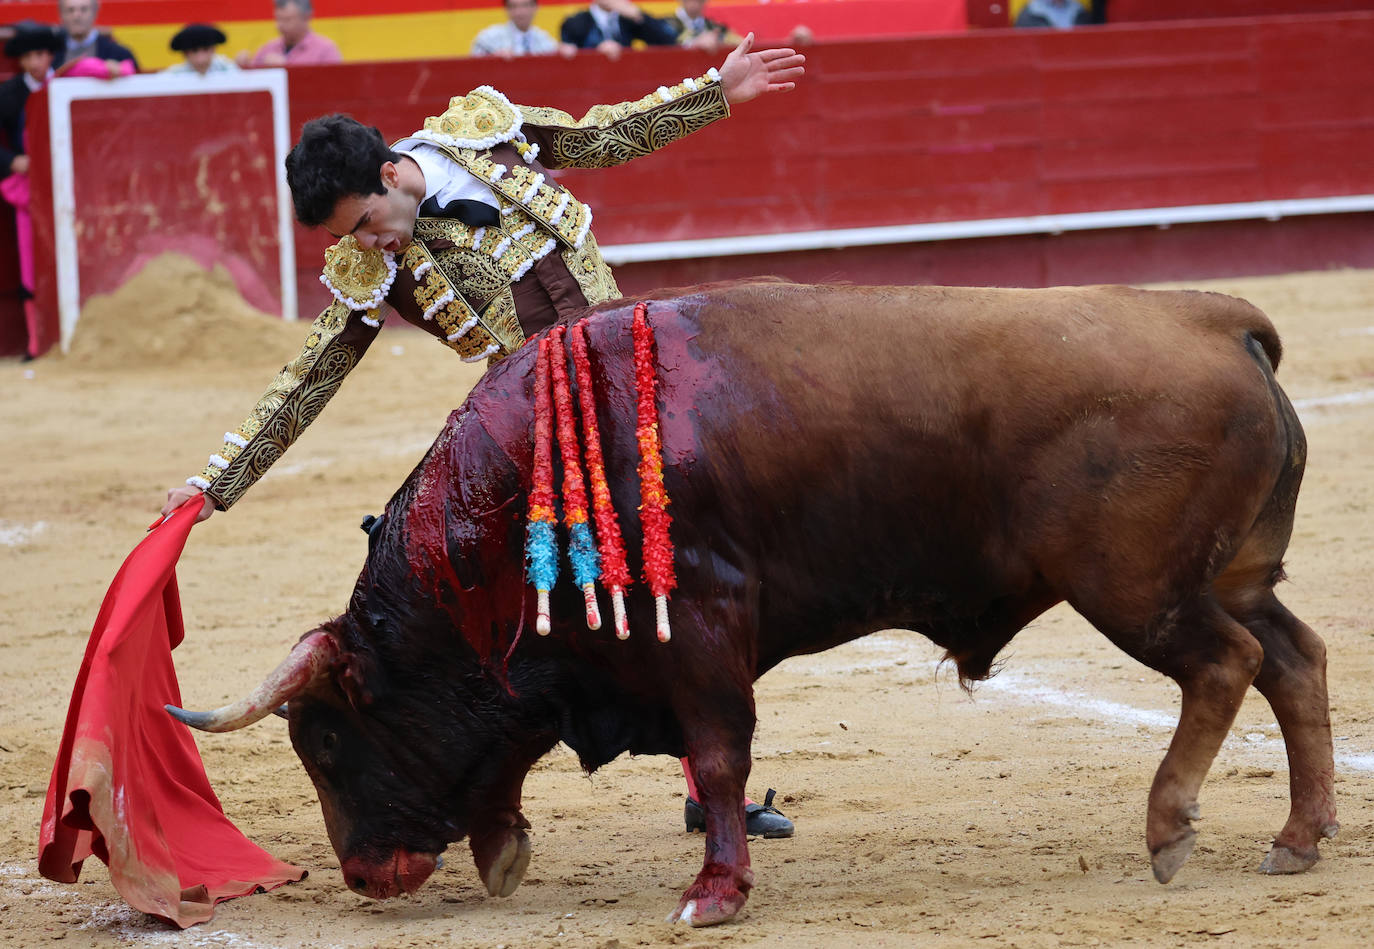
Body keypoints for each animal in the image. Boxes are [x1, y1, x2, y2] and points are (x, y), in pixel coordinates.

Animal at [166, 281, 1335, 928]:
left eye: (324, 738)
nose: (366, 873)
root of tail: (1216, 319)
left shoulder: (701, 631)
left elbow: (719, 756)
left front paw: (714, 892)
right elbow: (509, 744)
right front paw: (505, 848)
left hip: (1135, 588)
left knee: (1227, 666)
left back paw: (1170, 828)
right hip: (1229, 574)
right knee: (1296, 659)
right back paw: (1299, 835)